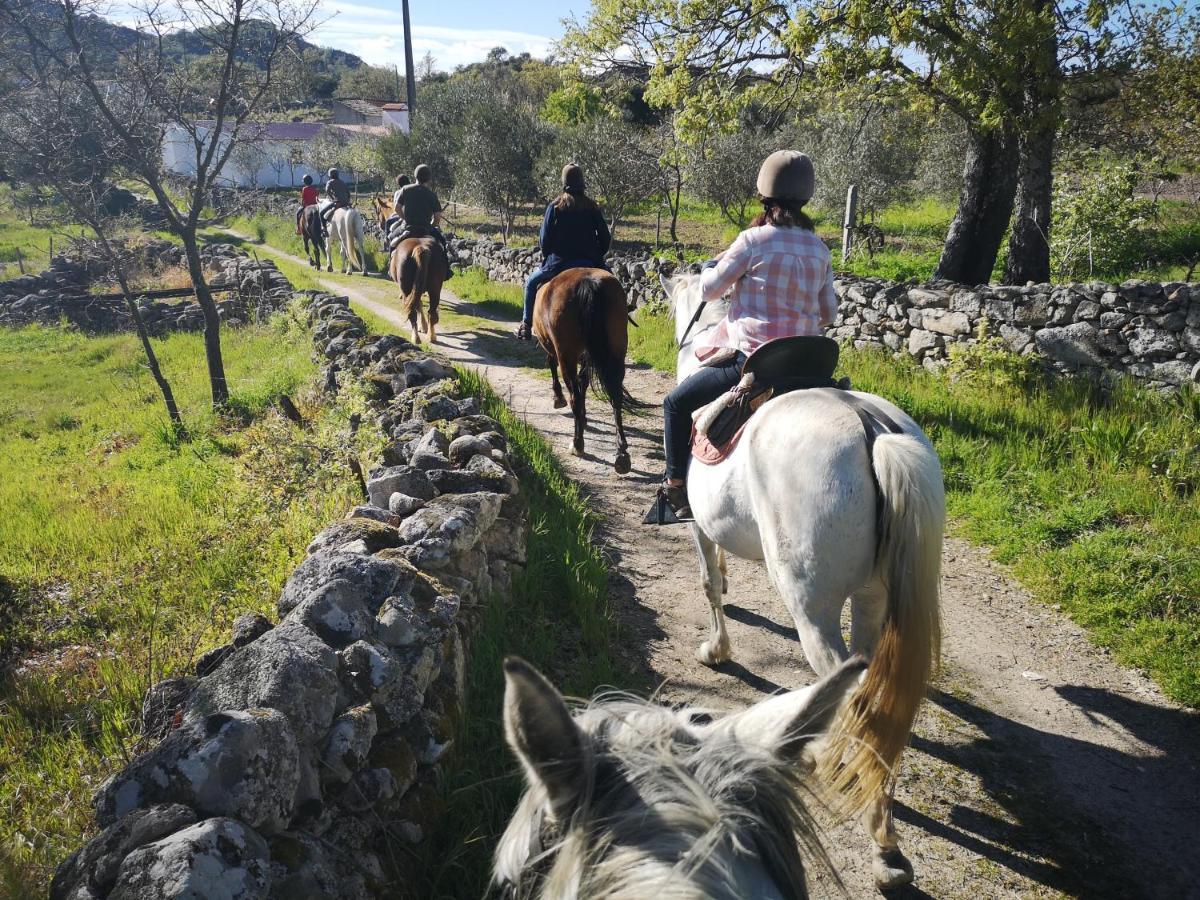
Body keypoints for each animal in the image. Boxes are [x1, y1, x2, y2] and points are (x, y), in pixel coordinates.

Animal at [530, 267, 633, 475]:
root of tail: (588, 282)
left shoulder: (553, 348)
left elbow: (553, 366)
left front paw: (558, 399)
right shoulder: (587, 358)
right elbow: (583, 382)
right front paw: (584, 418)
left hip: (567, 355)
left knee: (574, 397)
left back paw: (577, 444)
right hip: (617, 353)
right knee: (616, 397)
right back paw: (622, 454)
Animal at [662, 273, 940, 888]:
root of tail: (872, 430)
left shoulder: (699, 526)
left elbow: (709, 584)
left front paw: (717, 650)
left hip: (811, 608)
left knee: (854, 695)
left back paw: (875, 832)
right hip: (873, 599)